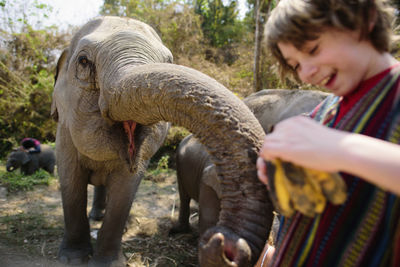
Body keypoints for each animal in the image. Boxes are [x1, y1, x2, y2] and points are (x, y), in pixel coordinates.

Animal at [51, 16, 274, 267]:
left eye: (169, 61)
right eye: (83, 61)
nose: (225, 244)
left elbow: (125, 187)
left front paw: (107, 262)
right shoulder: (64, 132)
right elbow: (70, 180)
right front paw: (72, 258)